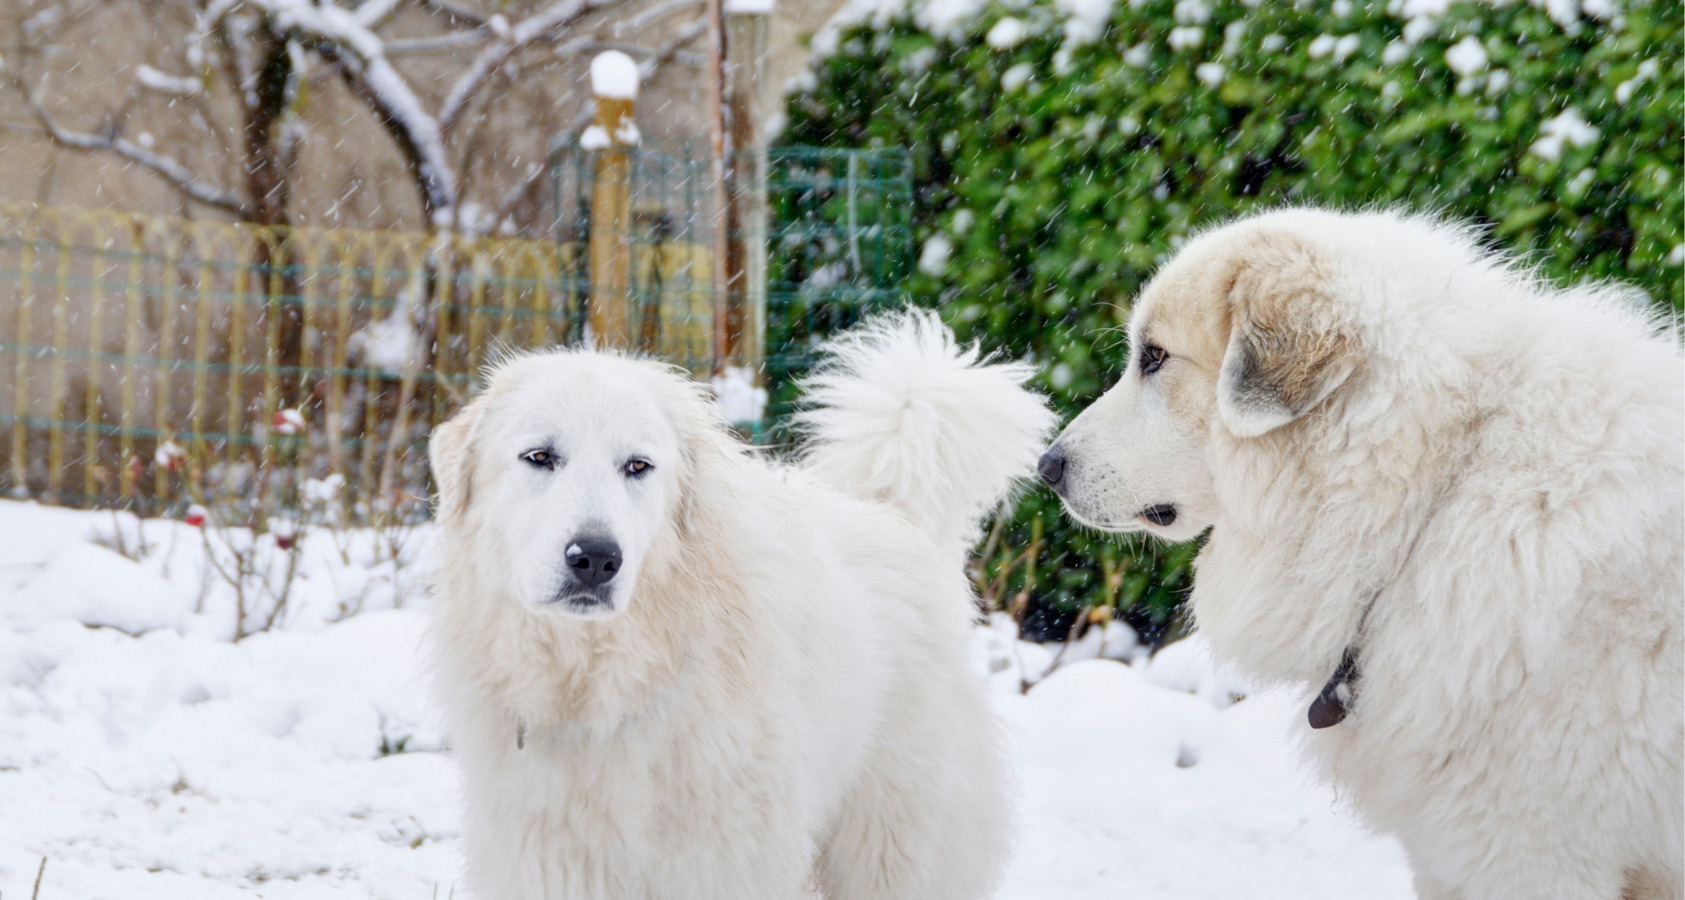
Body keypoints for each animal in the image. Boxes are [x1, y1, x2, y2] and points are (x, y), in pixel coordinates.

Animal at [424, 315, 1051, 900]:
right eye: (539, 456)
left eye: (637, 466)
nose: (596, 559)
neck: (605, 685)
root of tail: (895, 515)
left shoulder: (724, 862)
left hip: (894, 851)